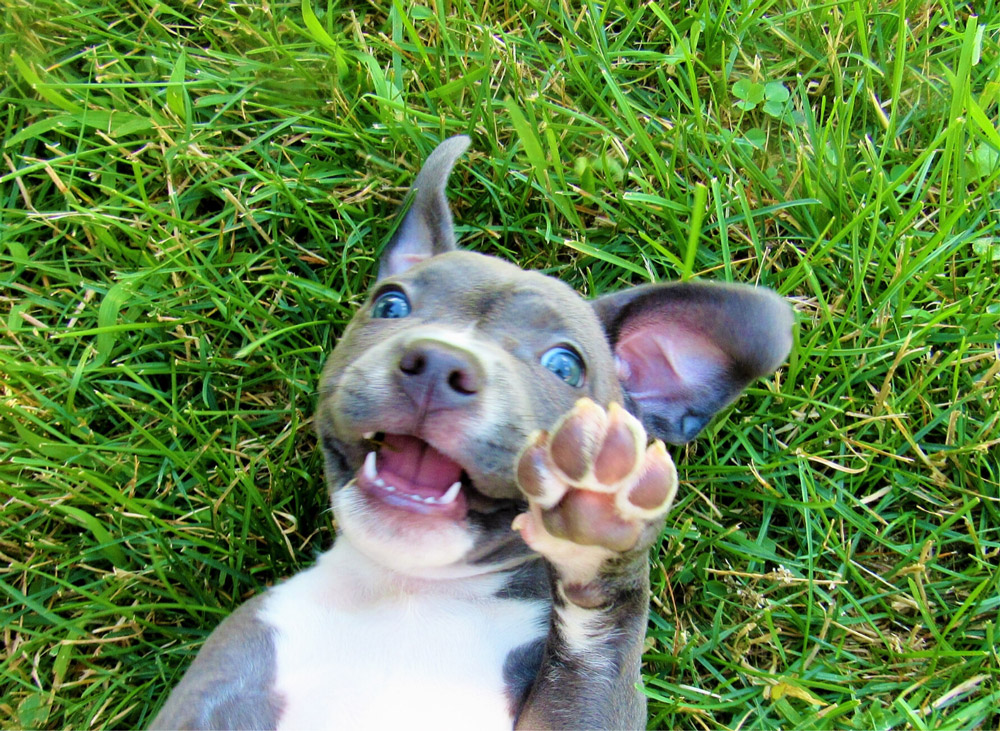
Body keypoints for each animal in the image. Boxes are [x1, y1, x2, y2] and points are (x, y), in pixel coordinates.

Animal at [152, 134, 792, 728]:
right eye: (390, 305)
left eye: (565, 366)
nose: (438, 363)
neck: (408, 589)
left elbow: (604, 627)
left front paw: (595, 521)